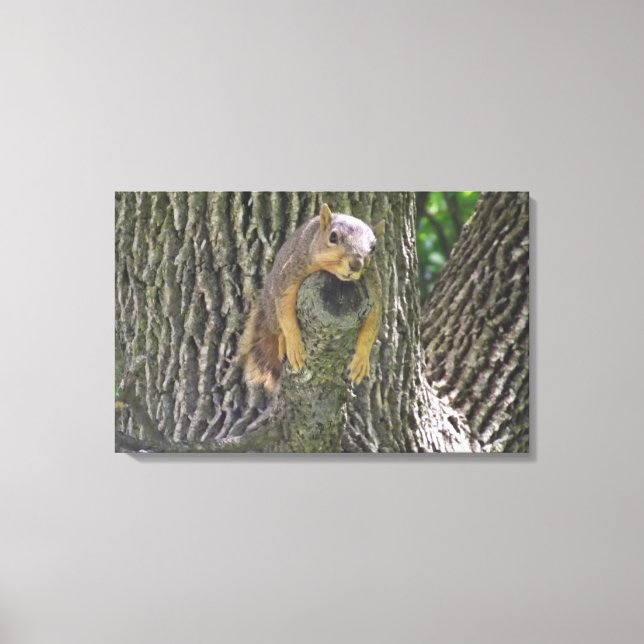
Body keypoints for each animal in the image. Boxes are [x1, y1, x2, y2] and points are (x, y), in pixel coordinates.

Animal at [240, 203, 384, 391]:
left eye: (373, 247)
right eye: (333, 237)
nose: (356, 264)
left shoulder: (373, 286)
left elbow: (372, 326)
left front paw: (361, 360)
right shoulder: (293, 271)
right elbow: (285, 309)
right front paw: (294, 344)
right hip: (271, 308)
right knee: (277, 327)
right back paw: (282, 341)